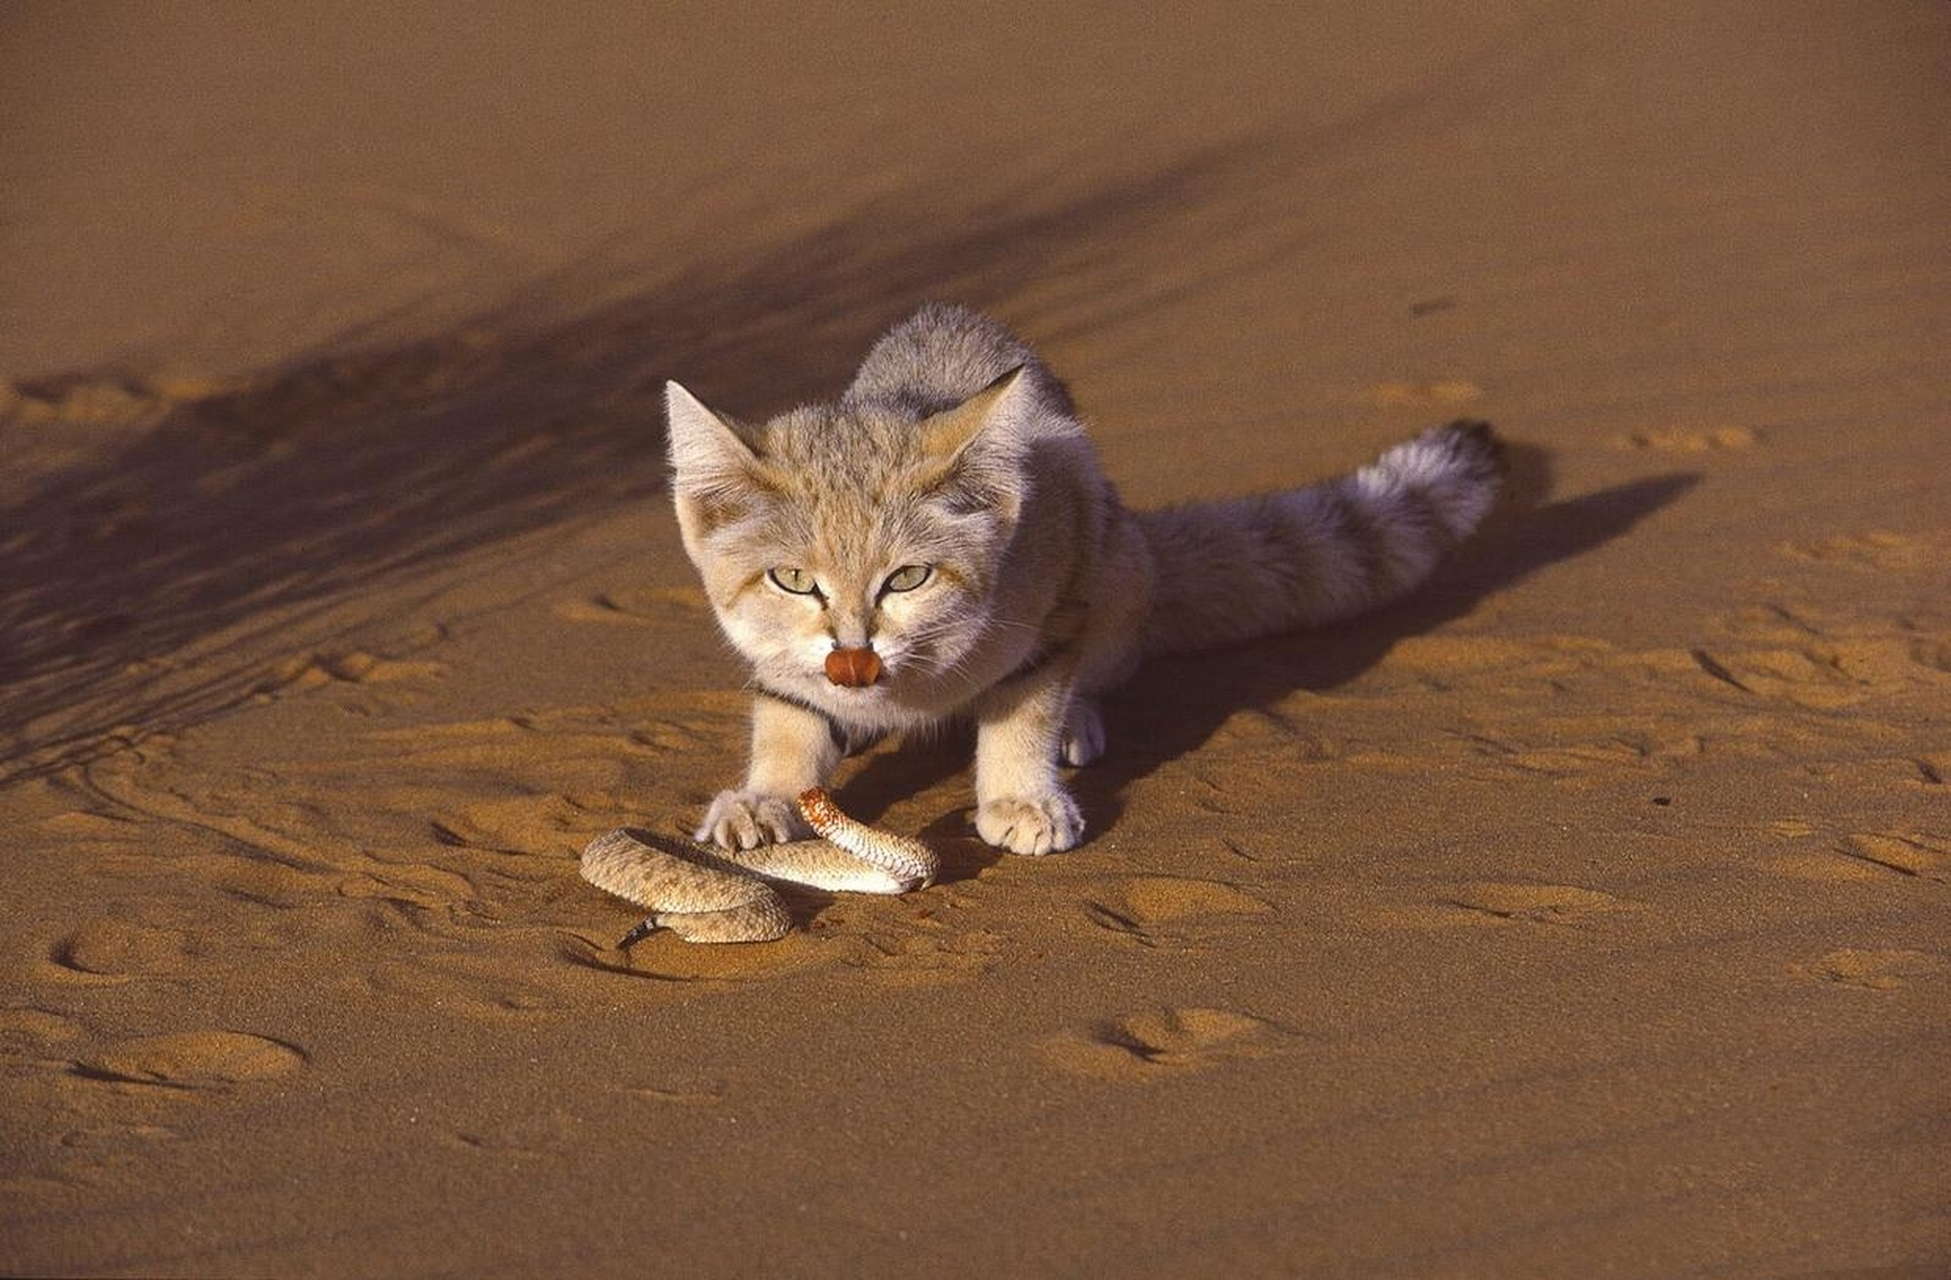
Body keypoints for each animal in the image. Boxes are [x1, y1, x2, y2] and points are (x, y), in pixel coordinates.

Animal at [663, 304, 1498, 854]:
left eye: (906, 578)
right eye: (791, 580)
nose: (852, 661)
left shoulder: (1056, 594)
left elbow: (1023, 707)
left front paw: (1020, 796)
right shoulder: (779, 661)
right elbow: (787, 718)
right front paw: (765, 796)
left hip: (1115, 566)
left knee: (1101, 669)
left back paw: (1076, 723)